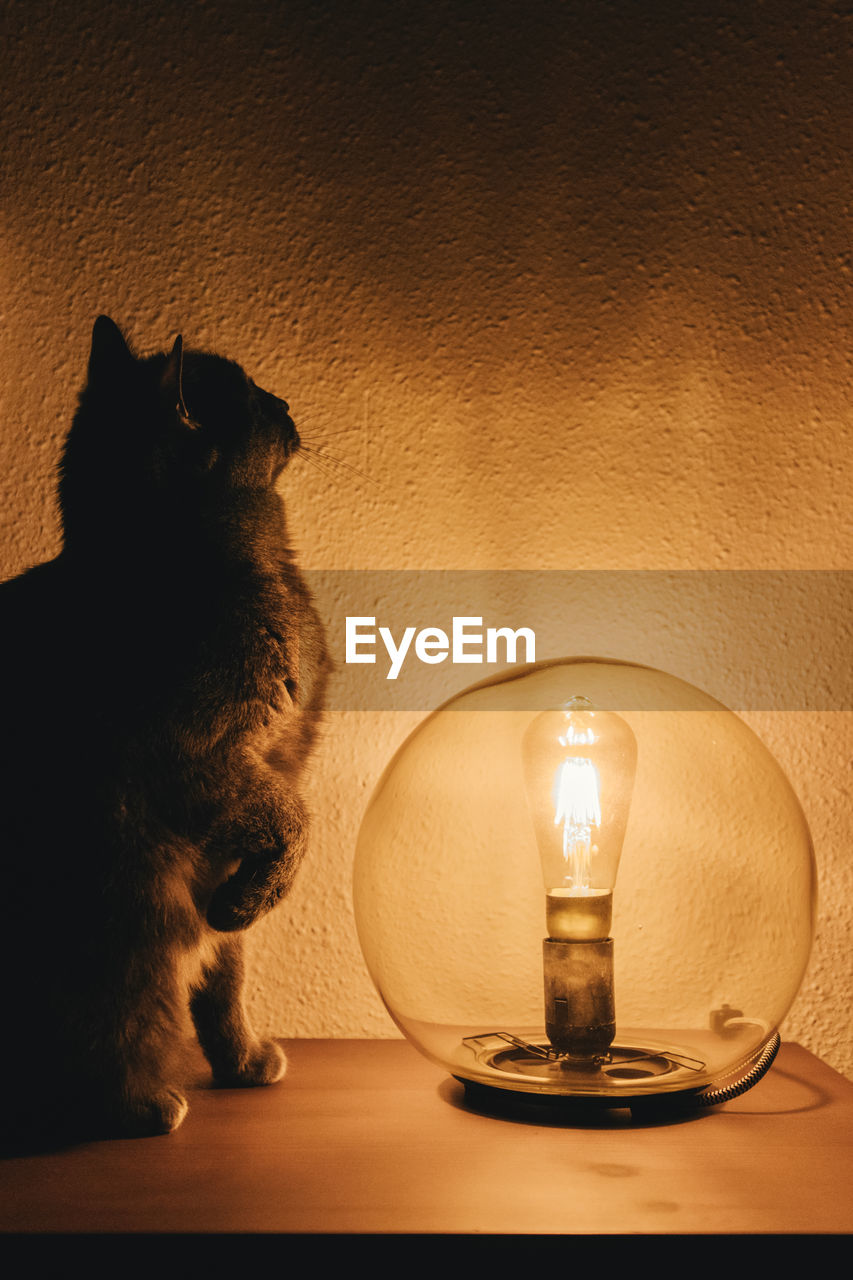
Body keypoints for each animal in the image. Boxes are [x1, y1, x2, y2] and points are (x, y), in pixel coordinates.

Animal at [0, 314, 327, 1146]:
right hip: (129, 908)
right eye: (249, 395)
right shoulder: (205, 760)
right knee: (105, 1028)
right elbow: (295, 821)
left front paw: (244, 1060)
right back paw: (141, 1107)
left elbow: (226, 973)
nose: (286, 398)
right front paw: (263, 891)